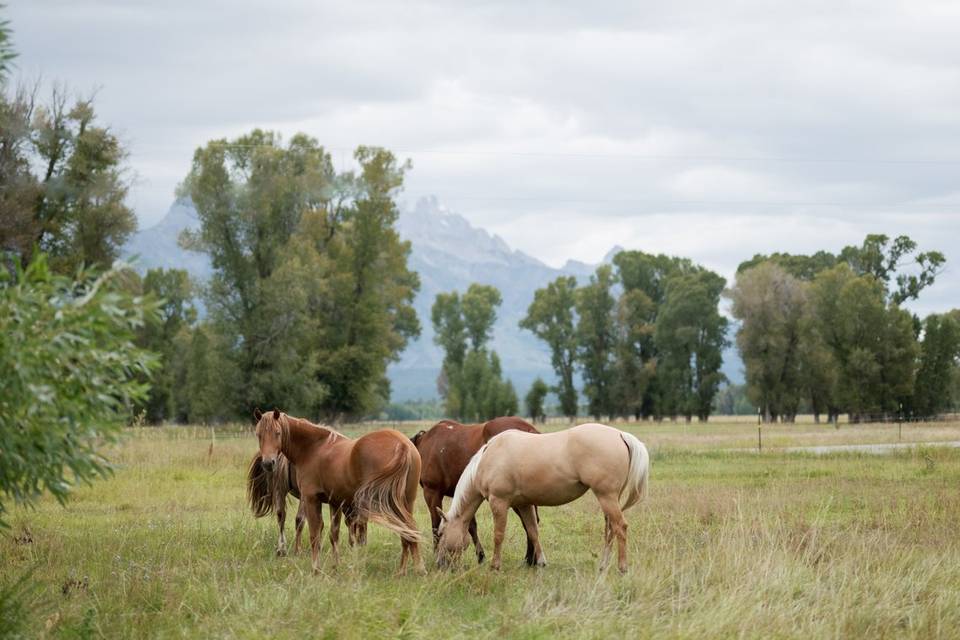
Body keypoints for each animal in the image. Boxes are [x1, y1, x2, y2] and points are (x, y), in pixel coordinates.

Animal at [251, 412, 424, 576]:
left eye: (278, 432)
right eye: (258, 434)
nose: (268, 463)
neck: (314, 448)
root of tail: (402, 445)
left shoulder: (311, 499)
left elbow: (315, 534)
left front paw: (316, 569)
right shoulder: (335, 503)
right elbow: (333, 535)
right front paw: (336, 567)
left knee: (406, 531)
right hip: (406, 502)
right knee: (408, 532)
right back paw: (406, 570)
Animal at [408, 418, 540, 564]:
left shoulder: (432, 493)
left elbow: (436, 525)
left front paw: (437, 553)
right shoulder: (465, 495)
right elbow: (470, 526)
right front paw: (480, 556)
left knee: (528, 523)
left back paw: (530, 558)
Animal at [436, 422, 648, 572]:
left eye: (441, 533)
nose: (440, 563)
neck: (488, 458)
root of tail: (620, 435)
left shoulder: (499, 502)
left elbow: (498, 535)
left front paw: (495, 565)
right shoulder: (524, 505)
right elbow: (533, 531)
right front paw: (541, 562)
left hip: (606, 496)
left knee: (620, 527)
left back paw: (622, 567)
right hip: (610, 498)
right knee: (610, 529)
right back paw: (603, 565)